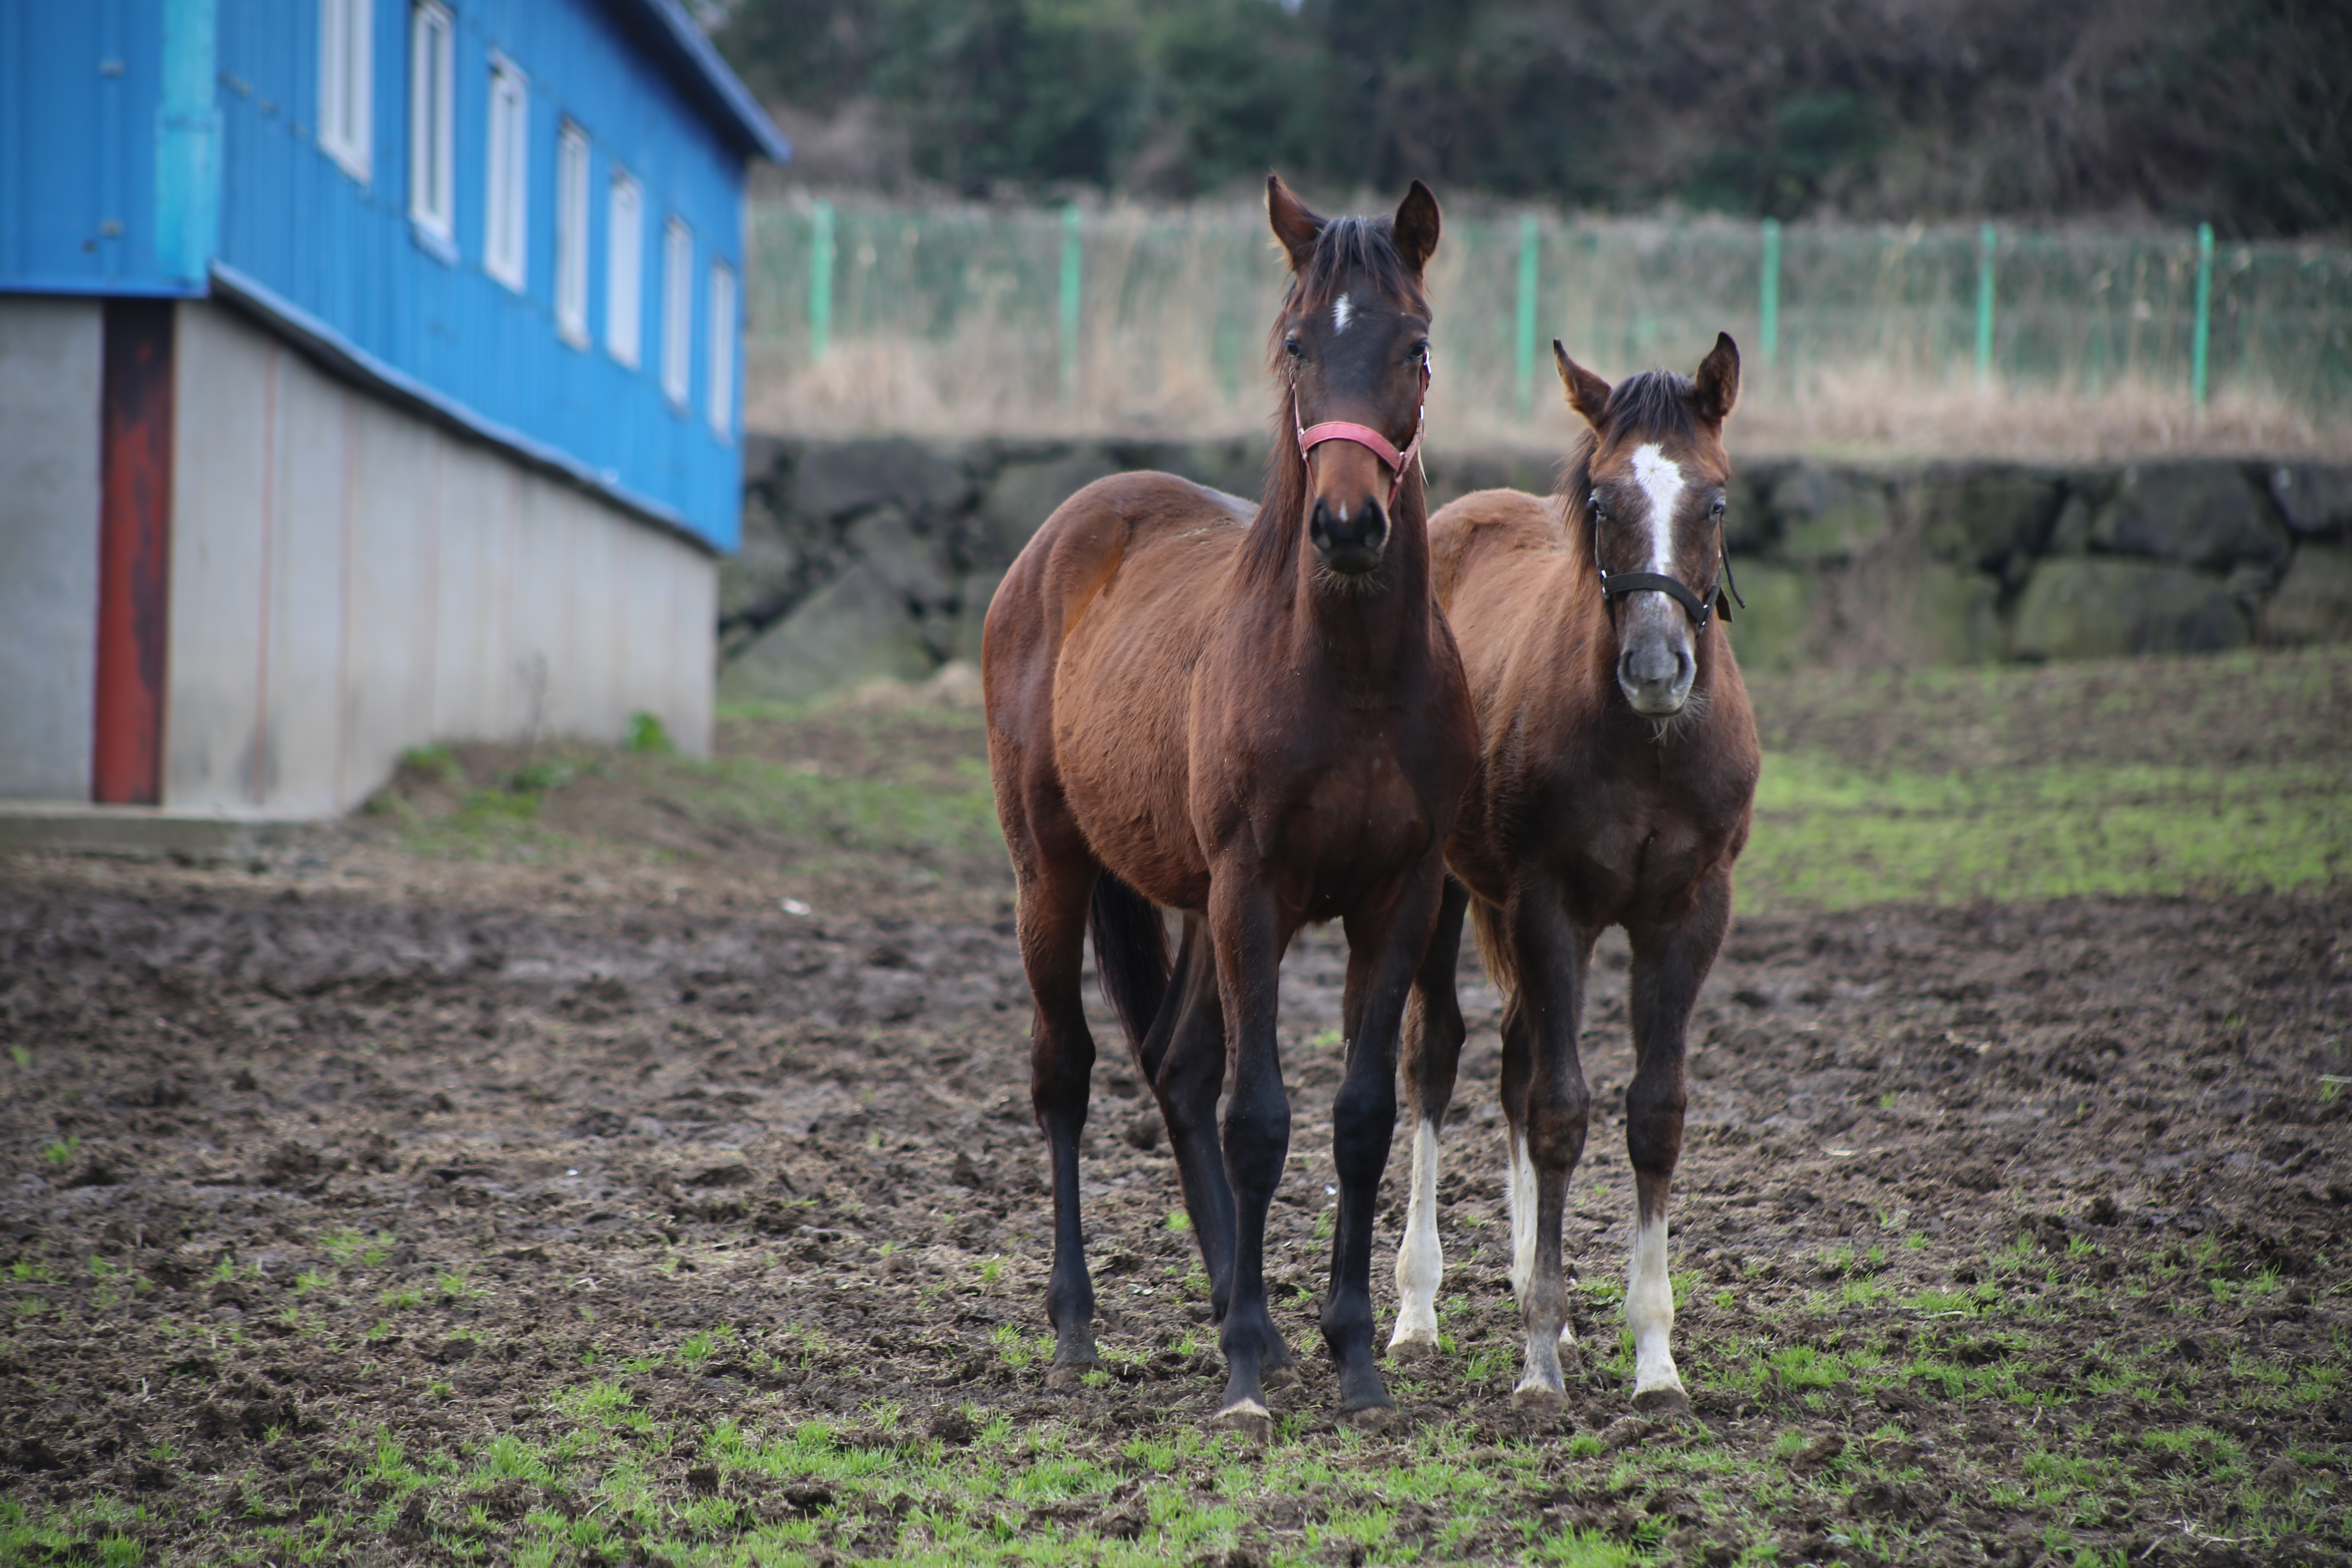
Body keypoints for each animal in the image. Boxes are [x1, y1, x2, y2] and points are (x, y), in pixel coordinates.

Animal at [988, 177, 1468, 1429]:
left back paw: (1234, 1308)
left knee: (1175, 1065)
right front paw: (1247, 1368)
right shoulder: (1257, 890)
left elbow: (1356, 1118)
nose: (1346, 526)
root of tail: (1061, 532)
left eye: (1415, 347)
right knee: (1068, 1073)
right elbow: (1261, 1120)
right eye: (1297, 343)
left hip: (1196, 902)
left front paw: (1347, 1353)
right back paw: (1080, 1326)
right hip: (1052, 873)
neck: (1347, 674)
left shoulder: (1393, 899)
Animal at [1383, 339, 1759, 1420]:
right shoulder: (1552, 905)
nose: (1655, 667)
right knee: (1435, 1058)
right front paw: (1539, 1365)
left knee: (1512, 1057)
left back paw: (1521, 1281)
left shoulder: (1688, 914)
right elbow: (1558, 1111)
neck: (1644, 747)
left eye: (1714, 501)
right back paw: (1417, 1311)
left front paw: (1653, 1359)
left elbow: (1653, 1115)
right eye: (1599, 499)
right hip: (1445, 892)